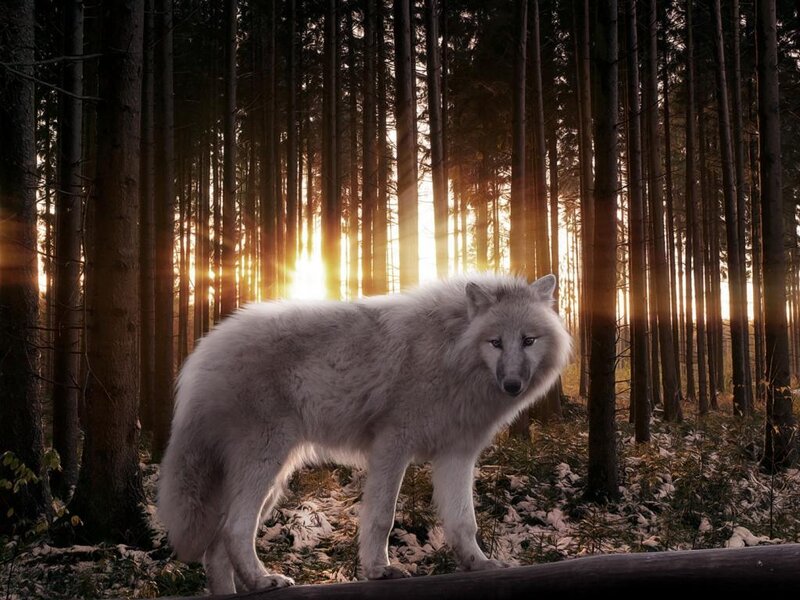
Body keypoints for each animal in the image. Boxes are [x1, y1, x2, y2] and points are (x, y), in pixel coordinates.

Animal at [157, 273, 571, 594]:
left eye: (529, 340)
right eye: (495, 342)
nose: (513, 384)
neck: (449, 351)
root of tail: (202, 351)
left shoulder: (457, 455)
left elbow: (463, 523)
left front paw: (479, 564)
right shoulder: (392, 445)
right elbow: (382, 517)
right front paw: (379, 570)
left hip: (273, 479)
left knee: (216, 548)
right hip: (266, 463)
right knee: (234, 529)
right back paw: (262, 581)